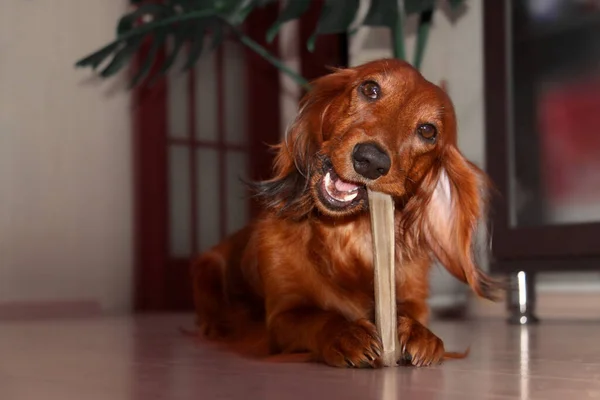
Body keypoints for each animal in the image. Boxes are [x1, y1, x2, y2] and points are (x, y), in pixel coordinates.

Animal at [191, 57, 496, 368]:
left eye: (427, 131)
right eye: (370, 89)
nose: (370, 160)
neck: (347, 238)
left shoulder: (414, 299)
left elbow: (411, 315)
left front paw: (420, 334)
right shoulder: (282, 315)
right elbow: (319, 317)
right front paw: (347, 334)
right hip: (207, 266)